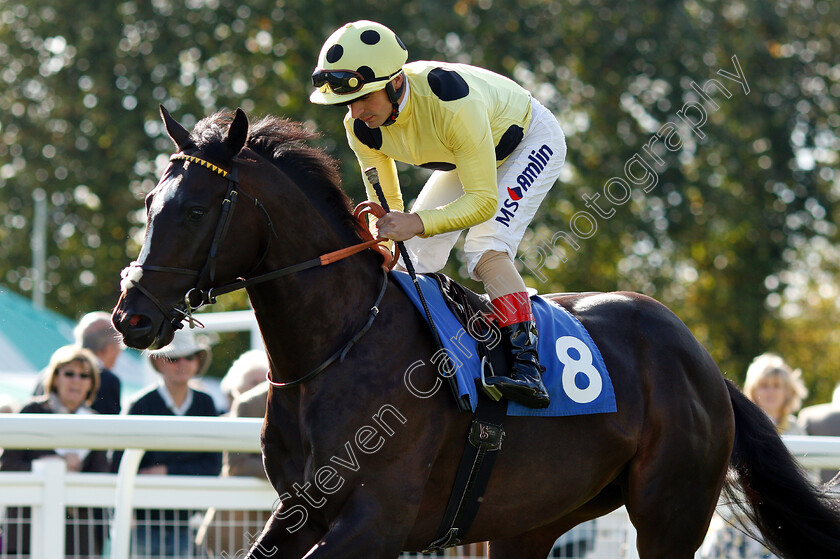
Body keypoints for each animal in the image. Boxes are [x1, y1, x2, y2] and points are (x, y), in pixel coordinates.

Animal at [111, 107, 840, 556]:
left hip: (671, 512)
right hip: (532, 520)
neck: (340, 348)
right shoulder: (300, 509)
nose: (131, 315)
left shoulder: (377, 521)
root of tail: (704, 363)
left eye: (195, 208)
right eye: (148, 203)